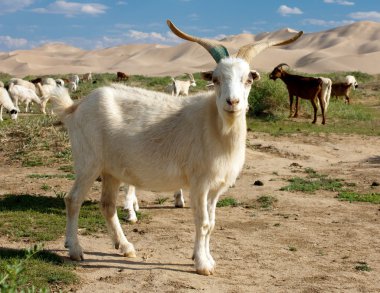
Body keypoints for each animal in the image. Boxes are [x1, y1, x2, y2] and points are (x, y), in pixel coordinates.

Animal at [48, 20, 302, 274]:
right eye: (216, 79)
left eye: (248, 80)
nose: (232, 102)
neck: (216, 127)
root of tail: (75, 107)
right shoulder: (199, 183)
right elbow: (203, 222)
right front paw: (202, 264)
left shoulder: (216, 187)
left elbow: (212, 223)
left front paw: (207, 258)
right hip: (88, 162)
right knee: (73, 200)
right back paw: (75, 249)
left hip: (112, 171)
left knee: (107, 205)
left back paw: (126, 247)